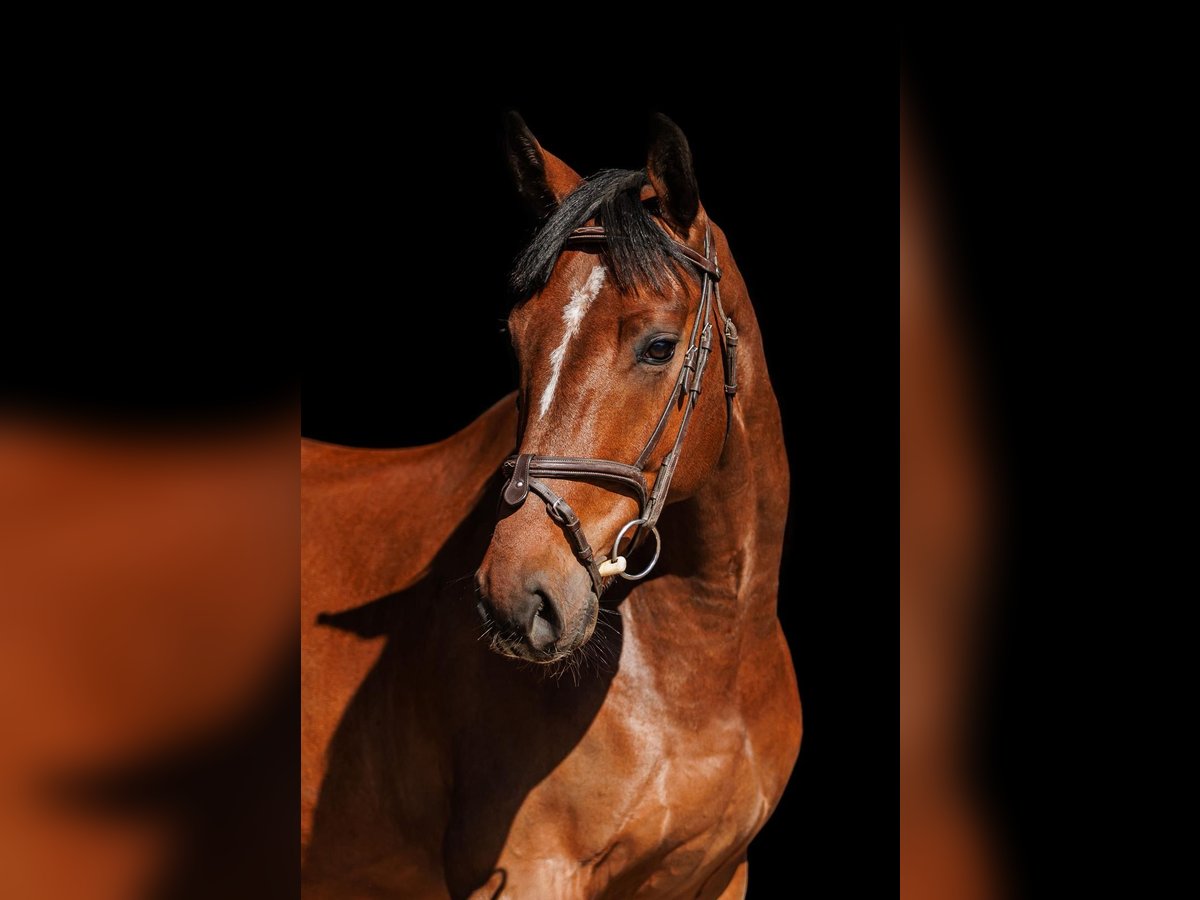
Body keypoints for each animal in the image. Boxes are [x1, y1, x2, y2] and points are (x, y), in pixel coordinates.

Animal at [301, 113, 800, 898]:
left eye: (660, 347)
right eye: (515, 339)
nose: (515, 600)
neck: (704, 664)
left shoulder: (719, 875)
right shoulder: (532, 870)